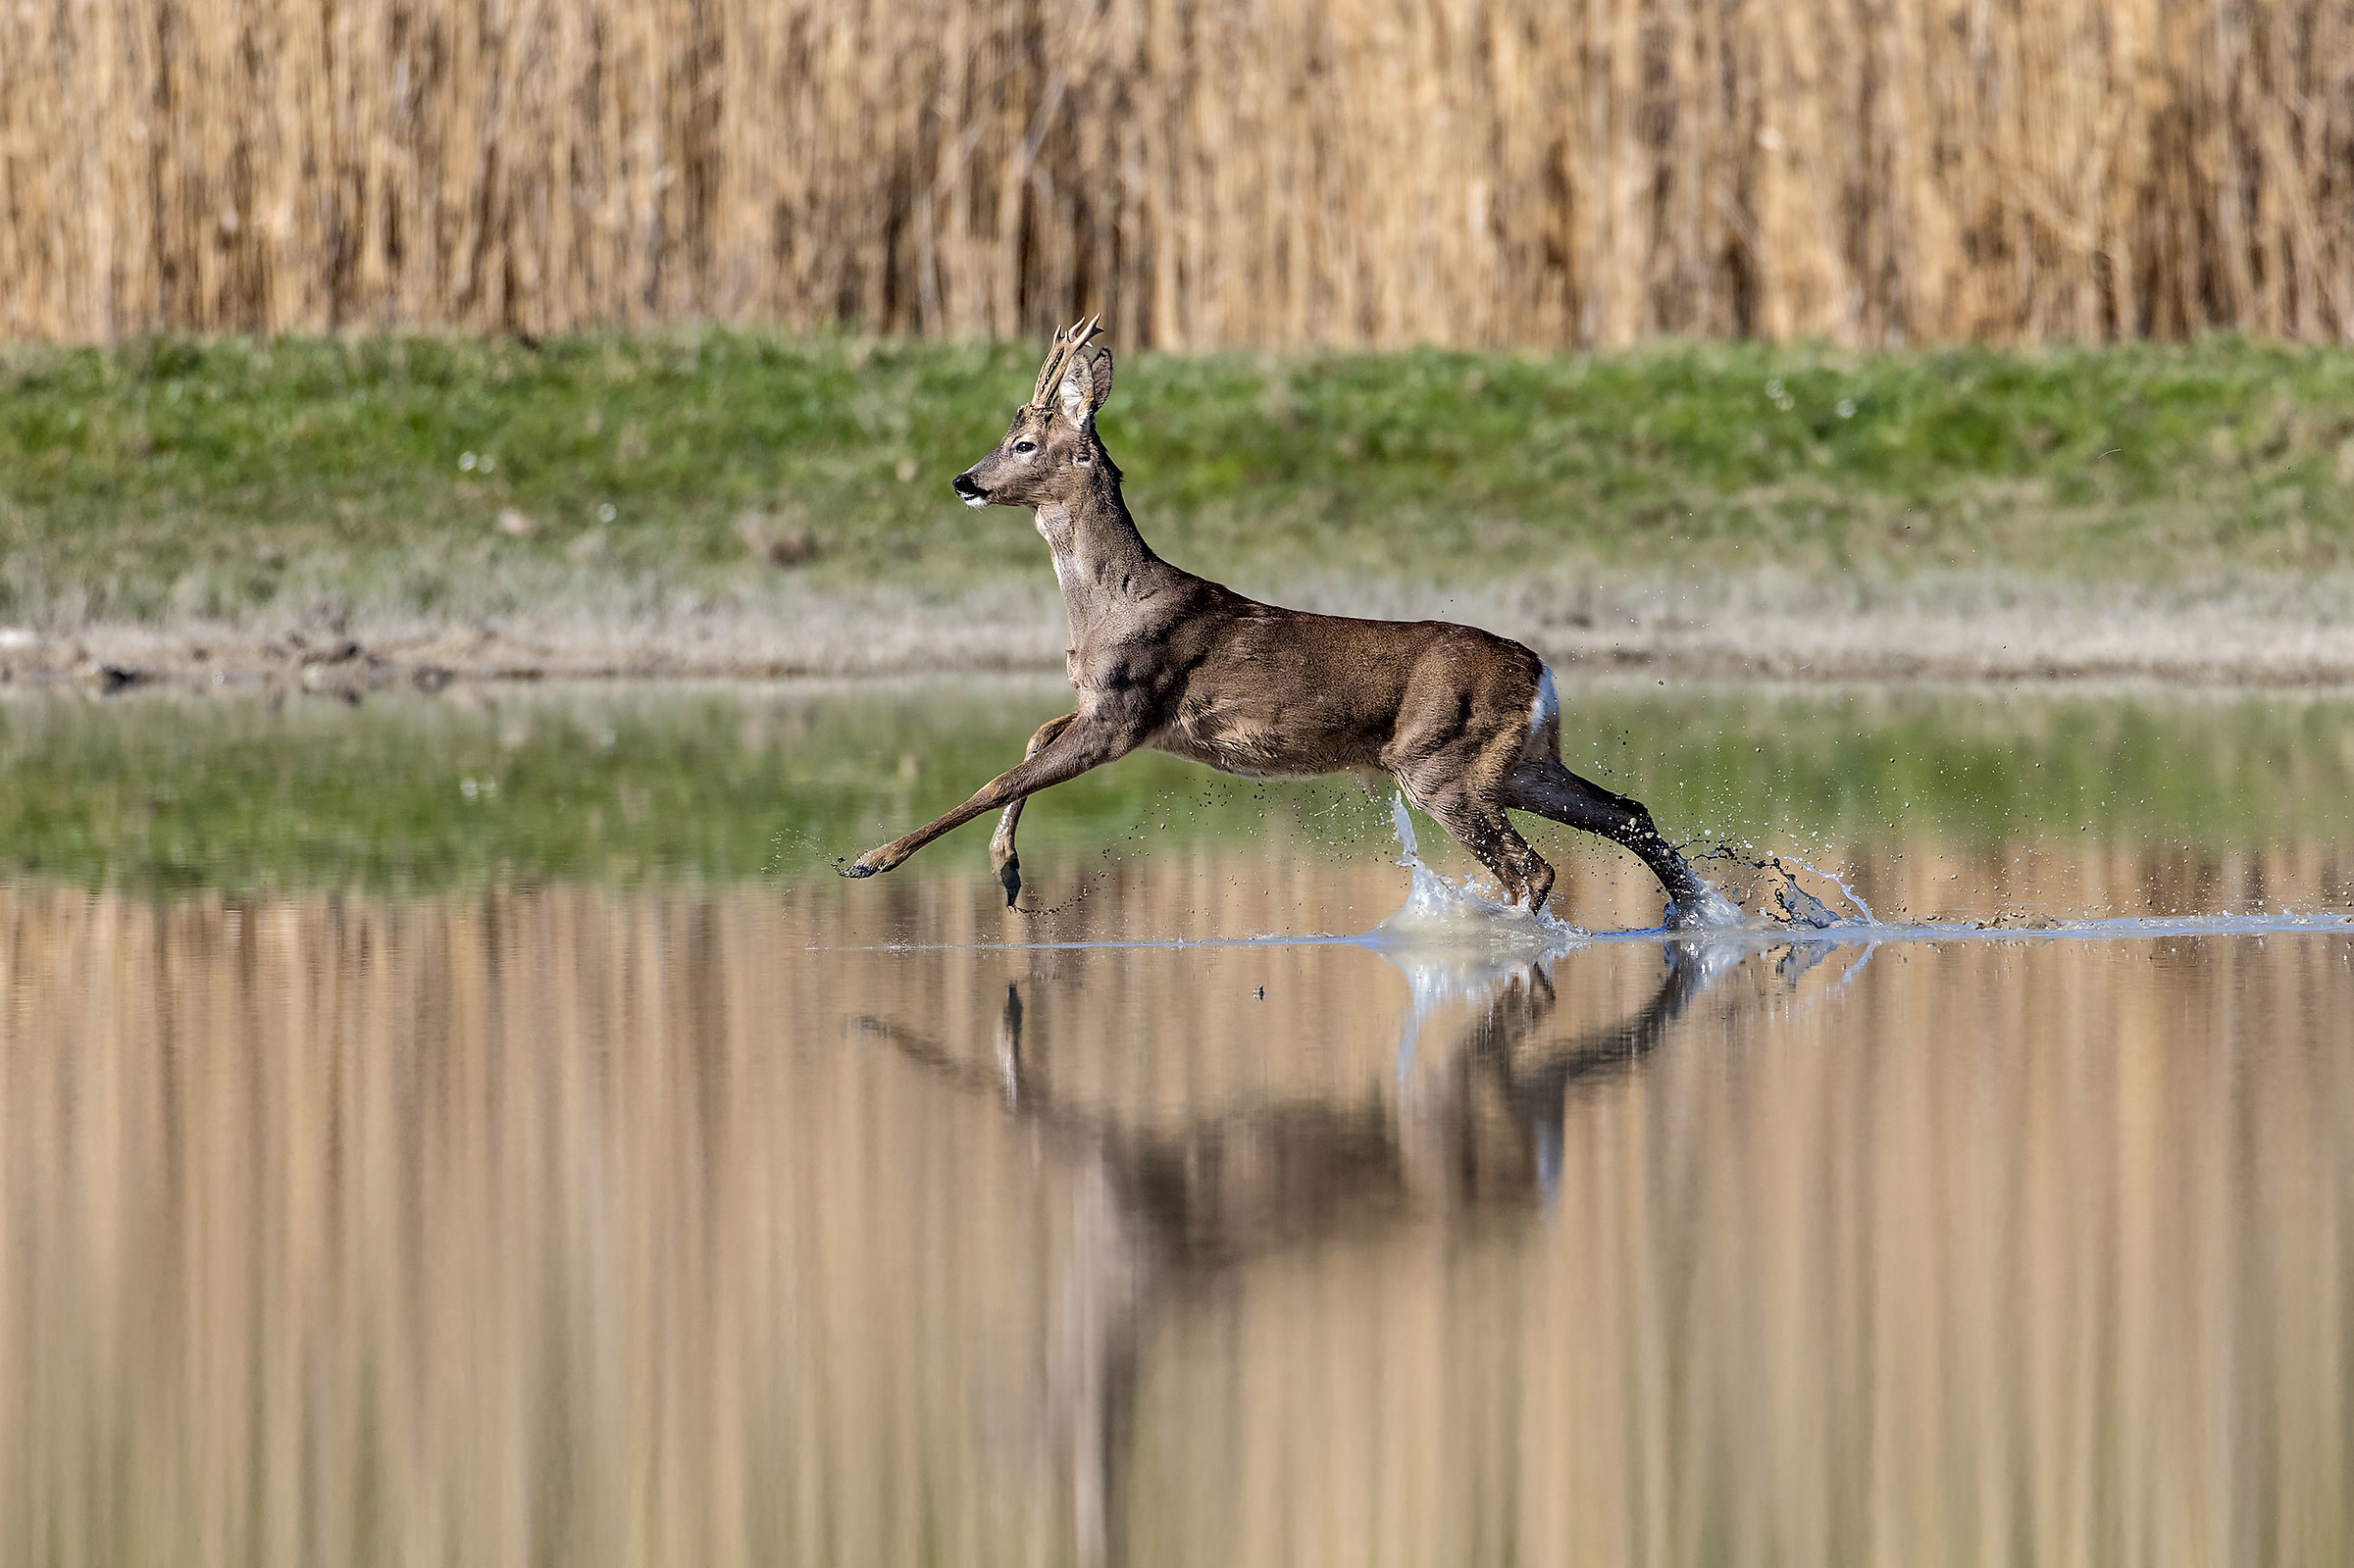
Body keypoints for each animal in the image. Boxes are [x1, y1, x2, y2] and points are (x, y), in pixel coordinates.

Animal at [841, 318, 1730, 928]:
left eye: (1024, 442)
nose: (964, 480)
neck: (1111, 604)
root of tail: (1542, 670)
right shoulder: (1105, 705)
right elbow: (1029, 742)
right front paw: (1006, 870)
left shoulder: (1126, 710)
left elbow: (1001, 774)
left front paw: (873, 858)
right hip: (1520, 763)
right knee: (1628, 811)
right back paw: (1699, 912)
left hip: (1441, 761)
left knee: (1533, 868)